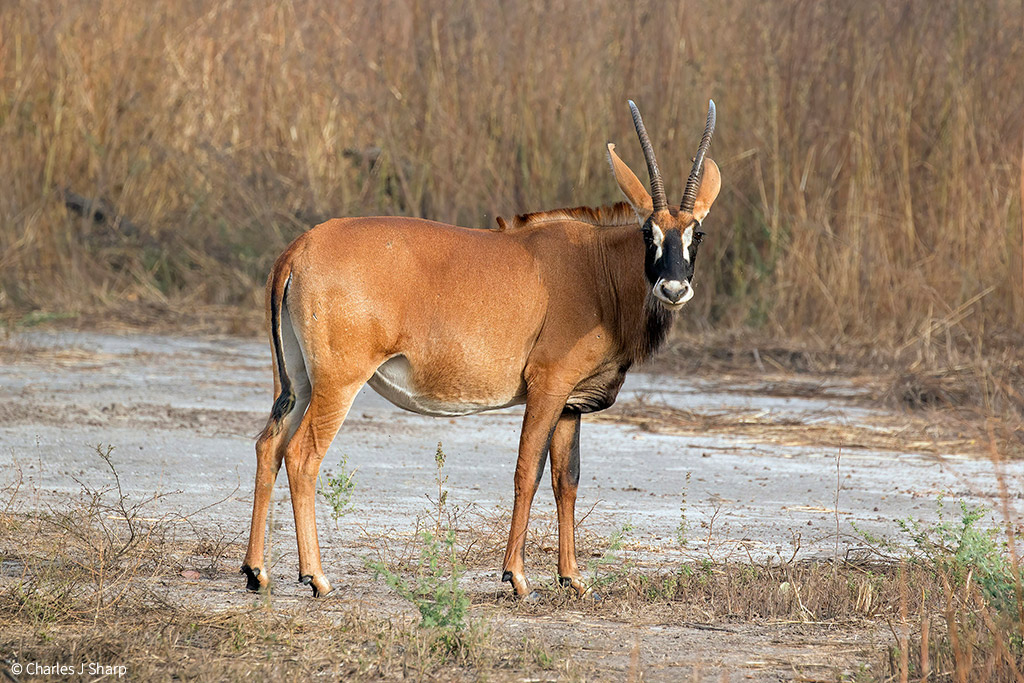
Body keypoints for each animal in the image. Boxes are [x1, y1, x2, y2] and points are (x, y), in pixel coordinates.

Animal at [241, 100, 720, 598]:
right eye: (649, 232)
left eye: (698, 233)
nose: (673, 288)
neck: (598, 267)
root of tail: (299, 248)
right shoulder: (548, 388)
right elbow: (528, 471)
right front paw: (518, 577)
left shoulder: (571, 404)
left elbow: (566, 480)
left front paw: (572, 577)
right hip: (337, 383)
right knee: (301, 456)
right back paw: (316, 577)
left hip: (297, 383)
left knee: (268, 445)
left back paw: (257, 572)